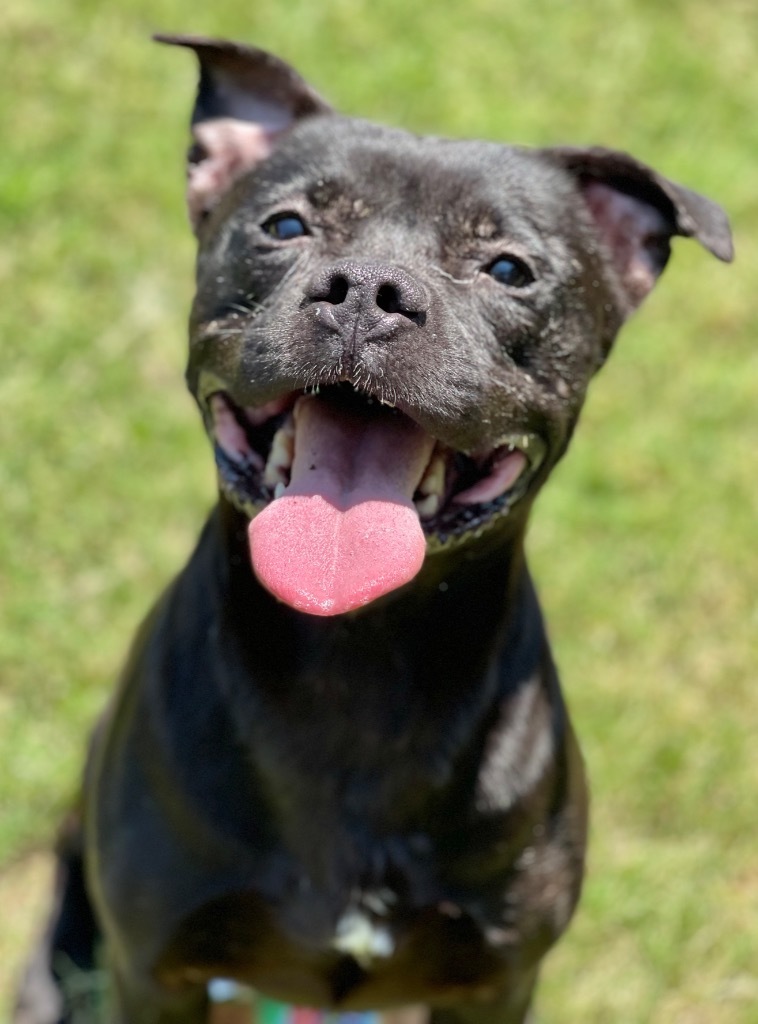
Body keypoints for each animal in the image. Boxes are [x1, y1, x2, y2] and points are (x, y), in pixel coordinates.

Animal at [14, 34, 729, 1024]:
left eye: (510, 269)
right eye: (284, 226)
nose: (367, 292)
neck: (357, 661)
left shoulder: (494, 979)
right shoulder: (156, 968)